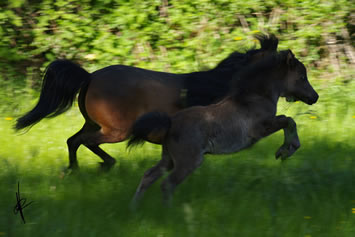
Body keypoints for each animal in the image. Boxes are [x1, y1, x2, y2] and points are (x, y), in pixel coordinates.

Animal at [16, 34, 278, 170]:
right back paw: (105, 164)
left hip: (93, 123)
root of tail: (89, 77)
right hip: (116, 130)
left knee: (73, 140)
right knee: (84, 141)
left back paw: (75, 170)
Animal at [128, 49, 320, 201]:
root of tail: (170, 123)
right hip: (188, 161)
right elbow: (289, 120)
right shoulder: (259, 129)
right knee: (167, 184)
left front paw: (285, 151)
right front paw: (286, 151)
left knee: (148, 176)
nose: (315, 97)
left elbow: (288, 120)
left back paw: (134, 208)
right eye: (302, 77)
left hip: (168, 159)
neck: (254, 97)